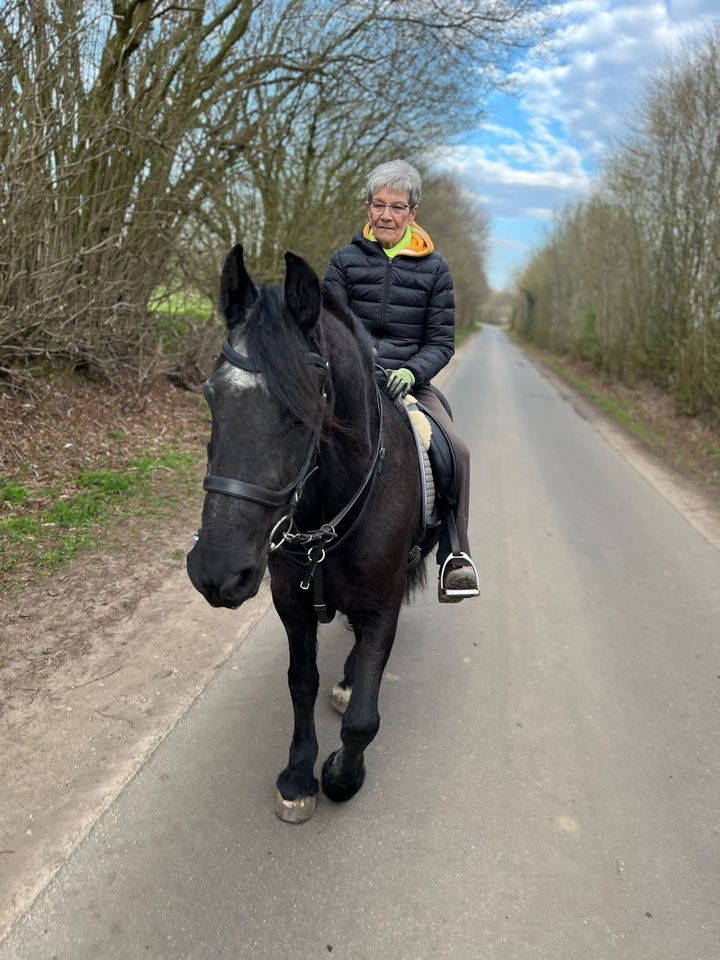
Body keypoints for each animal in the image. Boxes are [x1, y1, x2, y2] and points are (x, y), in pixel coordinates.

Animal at [186, 248, 438, 824]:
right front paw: (300, 774)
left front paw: (342, 777)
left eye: (305, 411)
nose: (216, 572)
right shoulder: (291, 602)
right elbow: (301, 683)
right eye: (210, 395)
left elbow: (364, 718)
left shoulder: (383, 604)